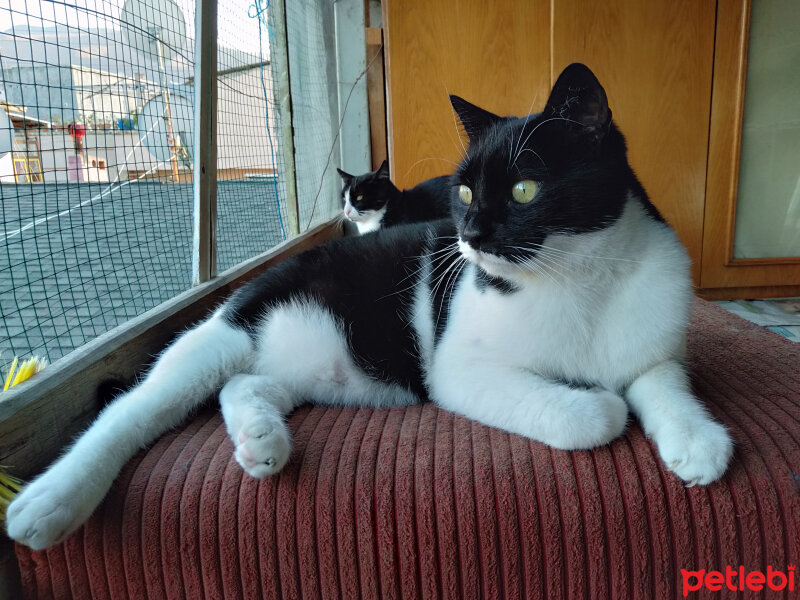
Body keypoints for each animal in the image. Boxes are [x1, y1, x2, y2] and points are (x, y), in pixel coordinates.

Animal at [6, 63, 732, 552]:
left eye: (525, 189)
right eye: (465, 192)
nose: (470, 236)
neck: (580, 280)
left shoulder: (651, 338)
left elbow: (660, 380)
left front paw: (696, 438)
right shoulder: (459, 371)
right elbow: (598, 412)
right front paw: (598, 402)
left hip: (318, 369)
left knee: (248, 384)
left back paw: (262, 440)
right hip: (225, 334)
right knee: (131, 411)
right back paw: (49, 501)